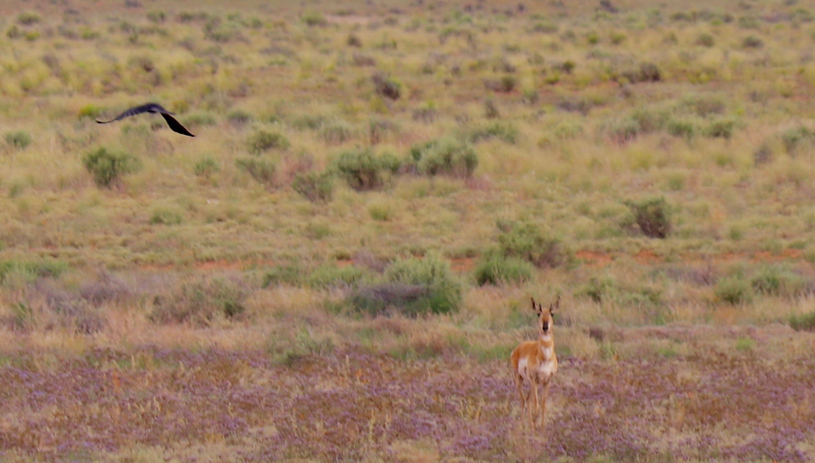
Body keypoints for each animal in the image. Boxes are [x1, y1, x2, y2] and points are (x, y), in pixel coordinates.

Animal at [510, 298, 560, 428]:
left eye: (552, 313)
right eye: (538, 313)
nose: (545, 326)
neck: (544, 357)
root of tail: (518, 348)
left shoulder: (547, 381)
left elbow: (543, 404)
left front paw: (541, 427)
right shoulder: (534, 379)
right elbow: (536, 403)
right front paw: (536, 426)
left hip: (532, 384)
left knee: (528, 400)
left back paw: (531, 425)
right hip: (520, 379)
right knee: (523, 400)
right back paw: (523, 426)